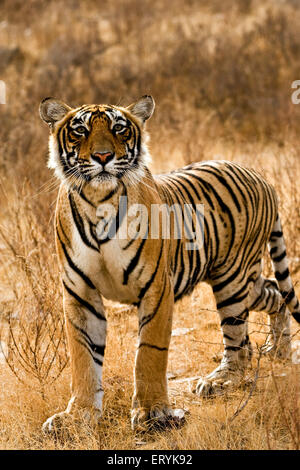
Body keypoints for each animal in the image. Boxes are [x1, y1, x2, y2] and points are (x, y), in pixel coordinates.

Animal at [39, 94, 300, 434]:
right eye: (80, 130)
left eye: (119, 128)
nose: (103, 156)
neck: (99, 202)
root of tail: (261, 176)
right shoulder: (80, 292)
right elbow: (83, 355)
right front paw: (77, 416)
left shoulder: (156, 287)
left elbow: (149, 352)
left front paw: (152, 413)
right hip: (242, 279)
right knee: (273, 292)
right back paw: (278, 349)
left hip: (232, 280)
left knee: (238, 341)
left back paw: (220, 380)